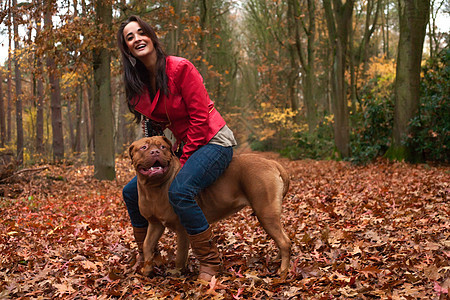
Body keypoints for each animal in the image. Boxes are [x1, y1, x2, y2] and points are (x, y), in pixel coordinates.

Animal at [129, 136, 292, 276]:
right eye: (144, 147)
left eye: (162, 147)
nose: (155, 152)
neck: (155, 187)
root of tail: (272, 163)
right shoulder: (155, 223)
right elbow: (147, 245)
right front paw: (147, 269)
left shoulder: (182, 228)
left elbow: (180, 255)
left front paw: (177, 273)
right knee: (284, 239)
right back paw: (277, 260)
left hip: (266, 212)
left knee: (284, 241)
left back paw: (283, 271)